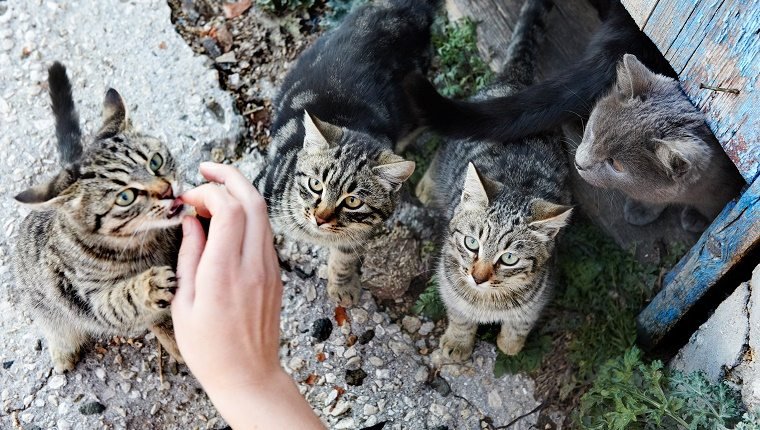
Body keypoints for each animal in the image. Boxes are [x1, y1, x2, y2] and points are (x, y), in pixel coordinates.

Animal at [11, 63, 189, 372]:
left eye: (155, 162)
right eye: (125, 197)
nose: (167, 190)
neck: (148, 241)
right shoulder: (87, 298)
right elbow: (118, 301)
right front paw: (147, 286)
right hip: (47, 309)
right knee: (58, 329)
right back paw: (63, 353)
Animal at [422, 0, 568, 360]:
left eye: (509, 258)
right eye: (471, 243)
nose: (478, 277)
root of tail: (517, 80)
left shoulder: (540, 291)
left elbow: (521, 321)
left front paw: (510, 344)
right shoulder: (449, 280)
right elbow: (460, 314)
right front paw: (458, 342)